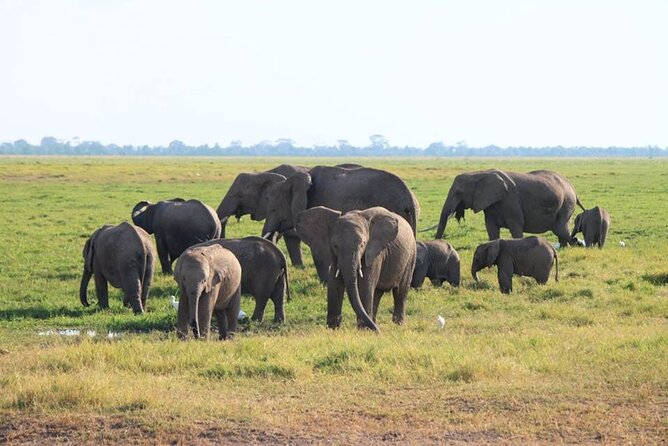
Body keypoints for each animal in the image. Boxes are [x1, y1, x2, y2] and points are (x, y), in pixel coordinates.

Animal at [434, 169, 584, 246]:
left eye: (458, 192)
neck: (479, 173)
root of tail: (573, 188)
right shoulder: (490, 204)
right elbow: (491, 229)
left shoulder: (510, 201)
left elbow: (516, 227)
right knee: (561, 231)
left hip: (566, 203)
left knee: (561, 229)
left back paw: (576, 243)